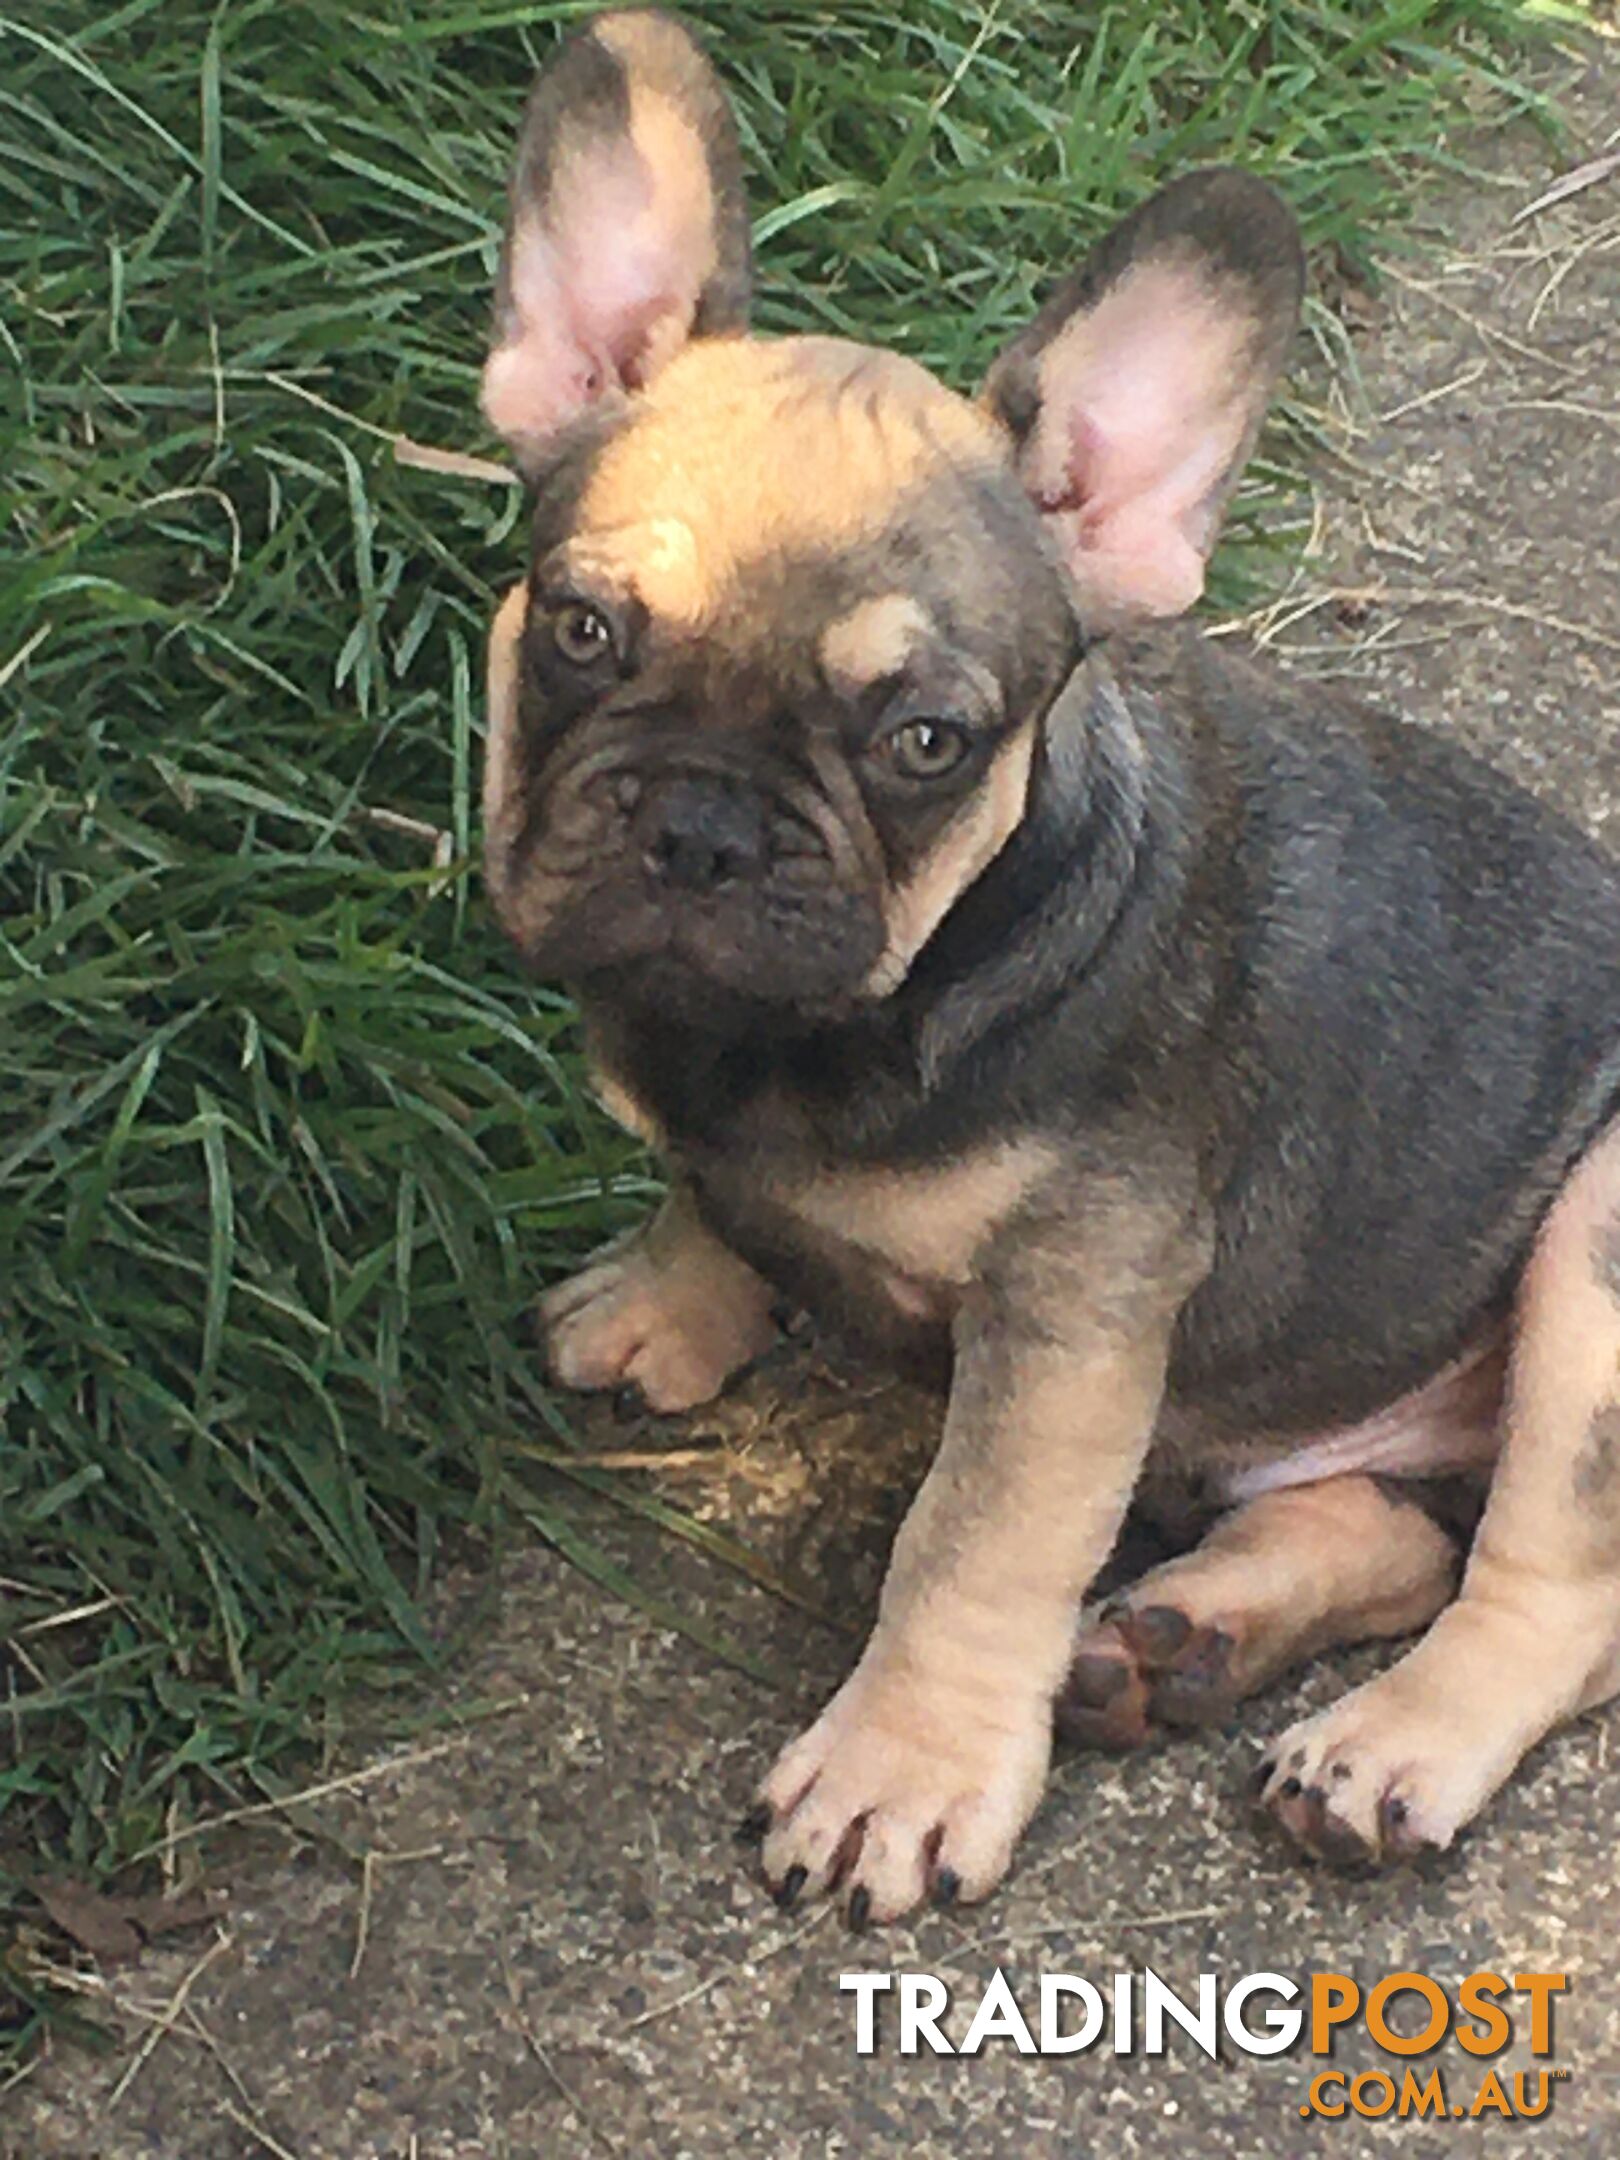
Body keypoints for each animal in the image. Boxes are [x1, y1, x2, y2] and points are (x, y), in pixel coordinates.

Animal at [479, 4, 1620, 1926]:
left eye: (925, 740)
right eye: (579, 629)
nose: (704, 823)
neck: (831, 1032)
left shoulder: (1076, 1313)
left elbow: (972, 1544)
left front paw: (902, 1771)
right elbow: (708, 1195)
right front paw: (667, 1299)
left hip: (1597, 1252)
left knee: (1549, 1587)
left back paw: (1387, 1744)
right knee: (1385, 1524)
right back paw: (1180, 1641)